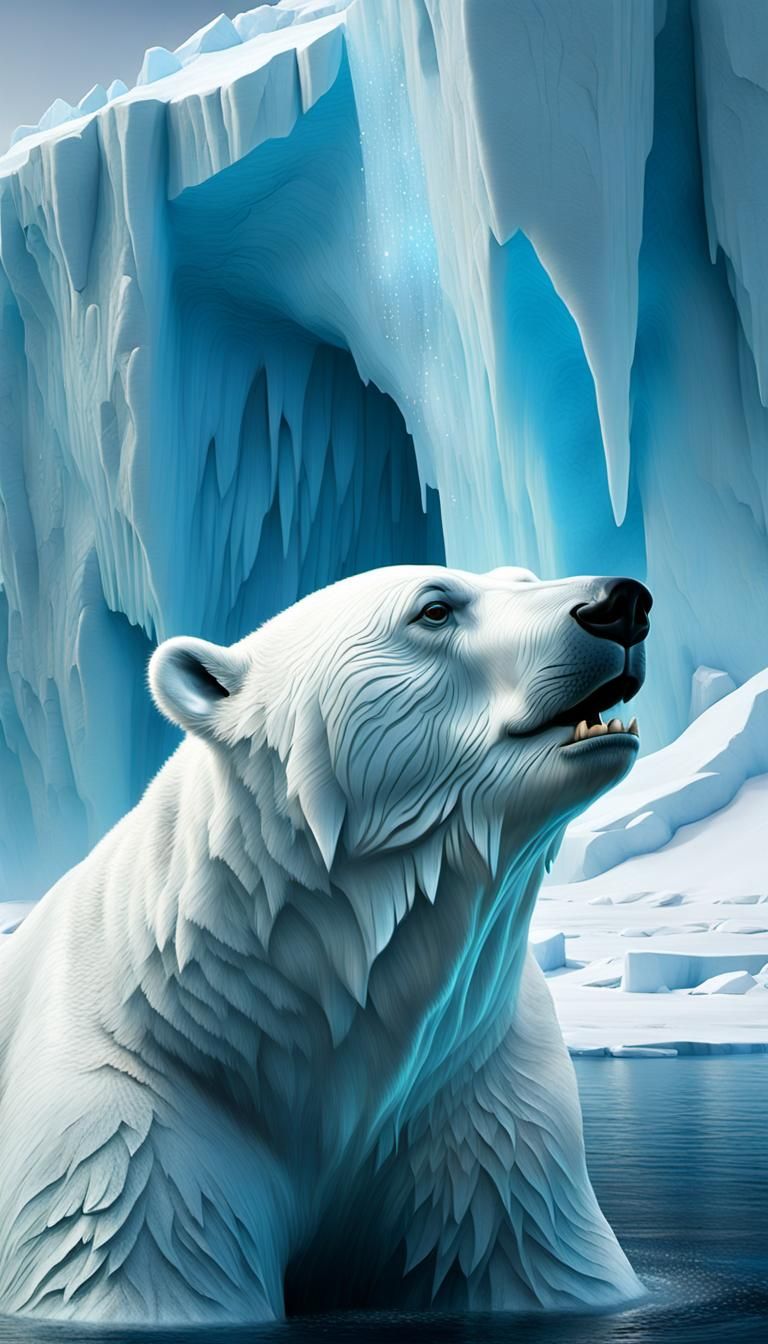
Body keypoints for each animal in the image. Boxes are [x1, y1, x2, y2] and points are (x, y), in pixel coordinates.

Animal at [0, 564, 651, 1325]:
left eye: (525, 575)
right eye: (435, 608)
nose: (621, 603)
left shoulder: (481, 1106)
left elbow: (534, 1259)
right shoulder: (135, 1119)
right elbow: (131, 1268)